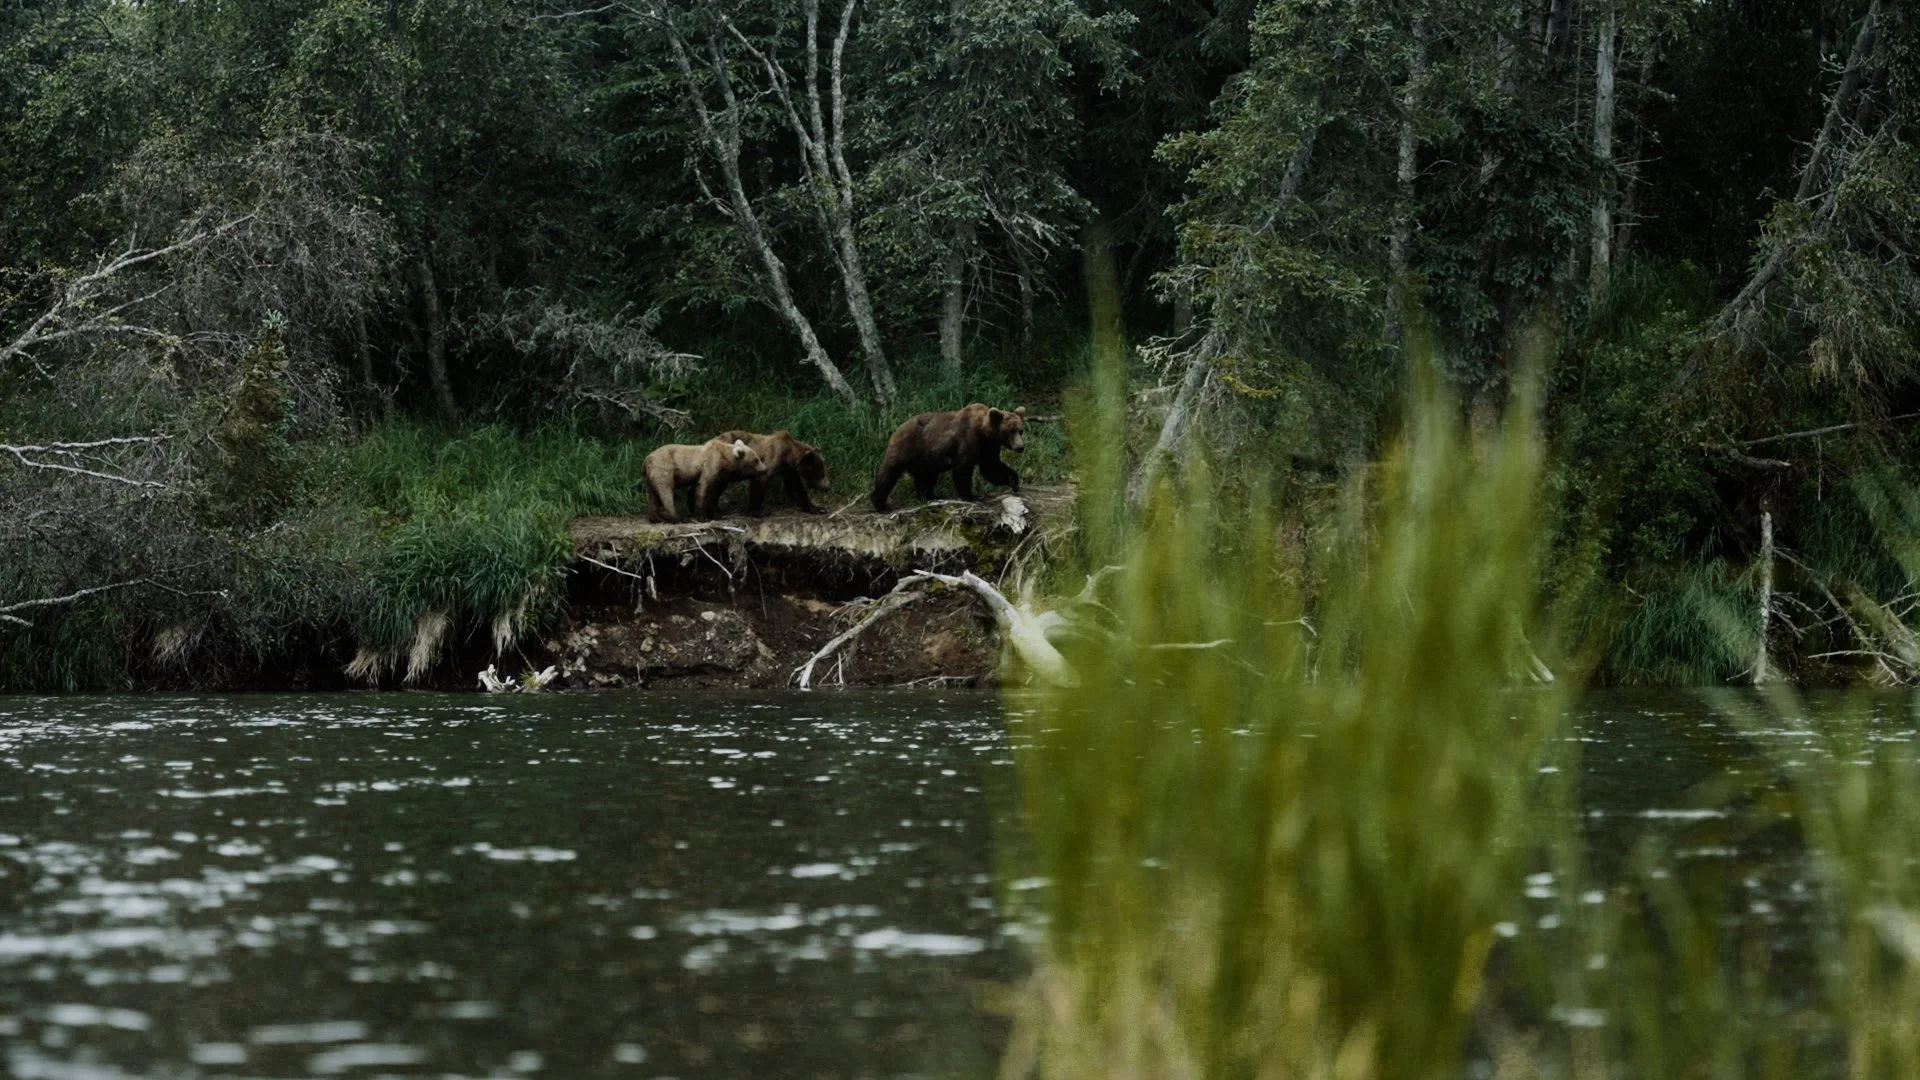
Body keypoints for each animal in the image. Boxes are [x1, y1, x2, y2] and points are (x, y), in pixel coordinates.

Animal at [870, 403, 1025, 512]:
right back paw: (881, 504)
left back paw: (930, 496)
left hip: (926, 458)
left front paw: (1013, 481)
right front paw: (971, 495)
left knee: (927, 477)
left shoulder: (989, 448)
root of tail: (898, 427)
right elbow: (962, 469)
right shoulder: (968, 441)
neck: (984, 433)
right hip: (908, 446)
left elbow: (991, 468)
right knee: (889, 472)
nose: (1021, 447)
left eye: (1020, 430)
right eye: (1010, 431)